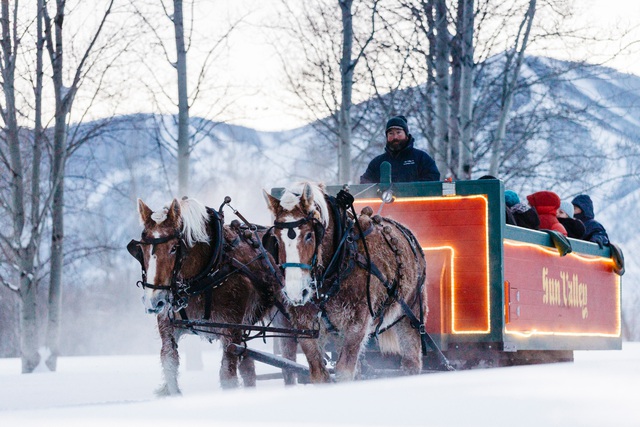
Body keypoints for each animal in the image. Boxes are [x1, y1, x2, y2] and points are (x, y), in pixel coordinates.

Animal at [128, 197, 298, 394]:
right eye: (141, 249)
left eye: (174, 248)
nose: (154, 301)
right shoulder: (168, 327)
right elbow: (169, 365)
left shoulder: (231, 330)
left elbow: (227, 376)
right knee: (248, 368)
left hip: (283, 318)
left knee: (288, 362)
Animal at [264, 182, 430, 382]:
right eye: (275, 238)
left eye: (309, 235)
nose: (296, 292)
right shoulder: (306, 326)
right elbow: (319, 374)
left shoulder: (356, 325)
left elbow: (344, 371)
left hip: (410, 313)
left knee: (412, 361)